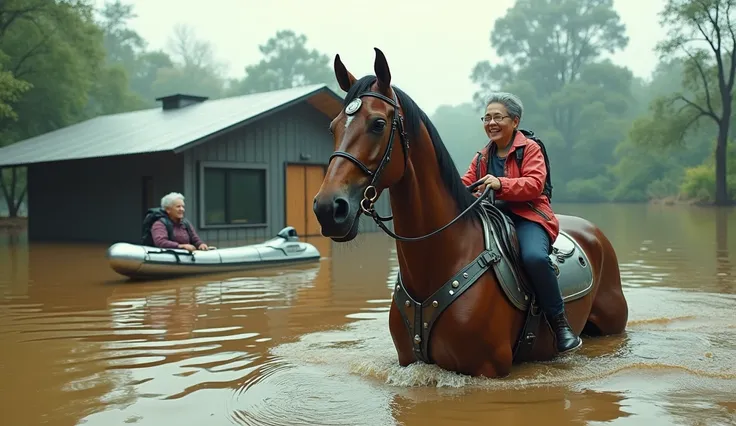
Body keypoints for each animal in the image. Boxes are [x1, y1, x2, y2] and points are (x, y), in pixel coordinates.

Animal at [314, 48, 628, 378]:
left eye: (377, 123)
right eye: (333, 127)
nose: (328, 208)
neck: (442, 259)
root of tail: (592, 231)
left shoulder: (486, 368)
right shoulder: (407, 360)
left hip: (613, 325)